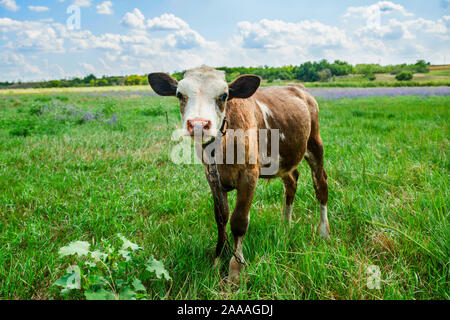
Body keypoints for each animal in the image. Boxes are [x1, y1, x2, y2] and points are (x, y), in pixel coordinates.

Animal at [149, 66, 328, 284]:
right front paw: (218, 257)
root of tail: (298, 88)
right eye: (179, 94)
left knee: (320, 185)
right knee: (292, 181)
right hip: (283, 159)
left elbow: (239, 221)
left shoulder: (249, 175)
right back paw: (286, 225)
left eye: (224, 96)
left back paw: (323, 231)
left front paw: (236, 268)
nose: (199, 124)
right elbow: (221, 217)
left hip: (314, 144)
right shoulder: (212, 176)